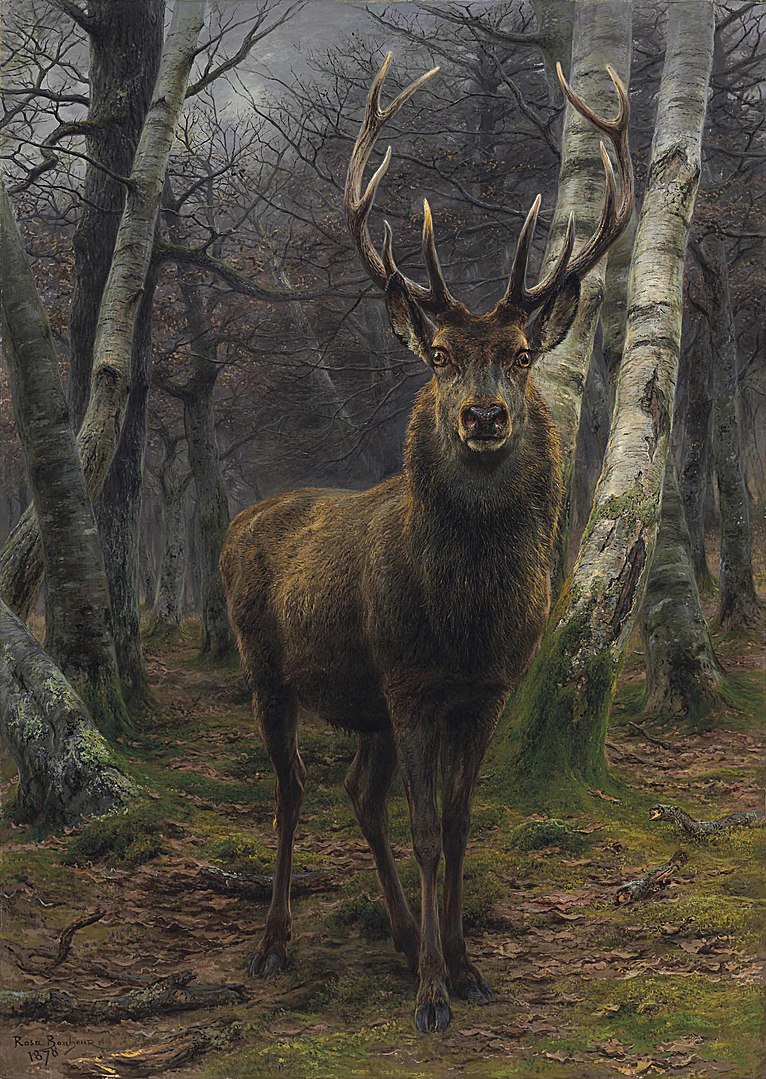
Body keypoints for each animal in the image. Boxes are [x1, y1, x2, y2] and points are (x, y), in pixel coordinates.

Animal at [222, 54, 634, 1031]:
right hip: (265, 664)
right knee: (294, 791)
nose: (482, 416)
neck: (466, 621)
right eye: (442, 354)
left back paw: (406, 938)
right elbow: (421, 828)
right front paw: (433, 999)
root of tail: (242, 520)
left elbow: (455, 824)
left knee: (354, 794)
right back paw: (274, 942)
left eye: (520, 353)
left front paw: (466, 964)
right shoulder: (410, 681)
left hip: (363, 696)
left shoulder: (481, 691)